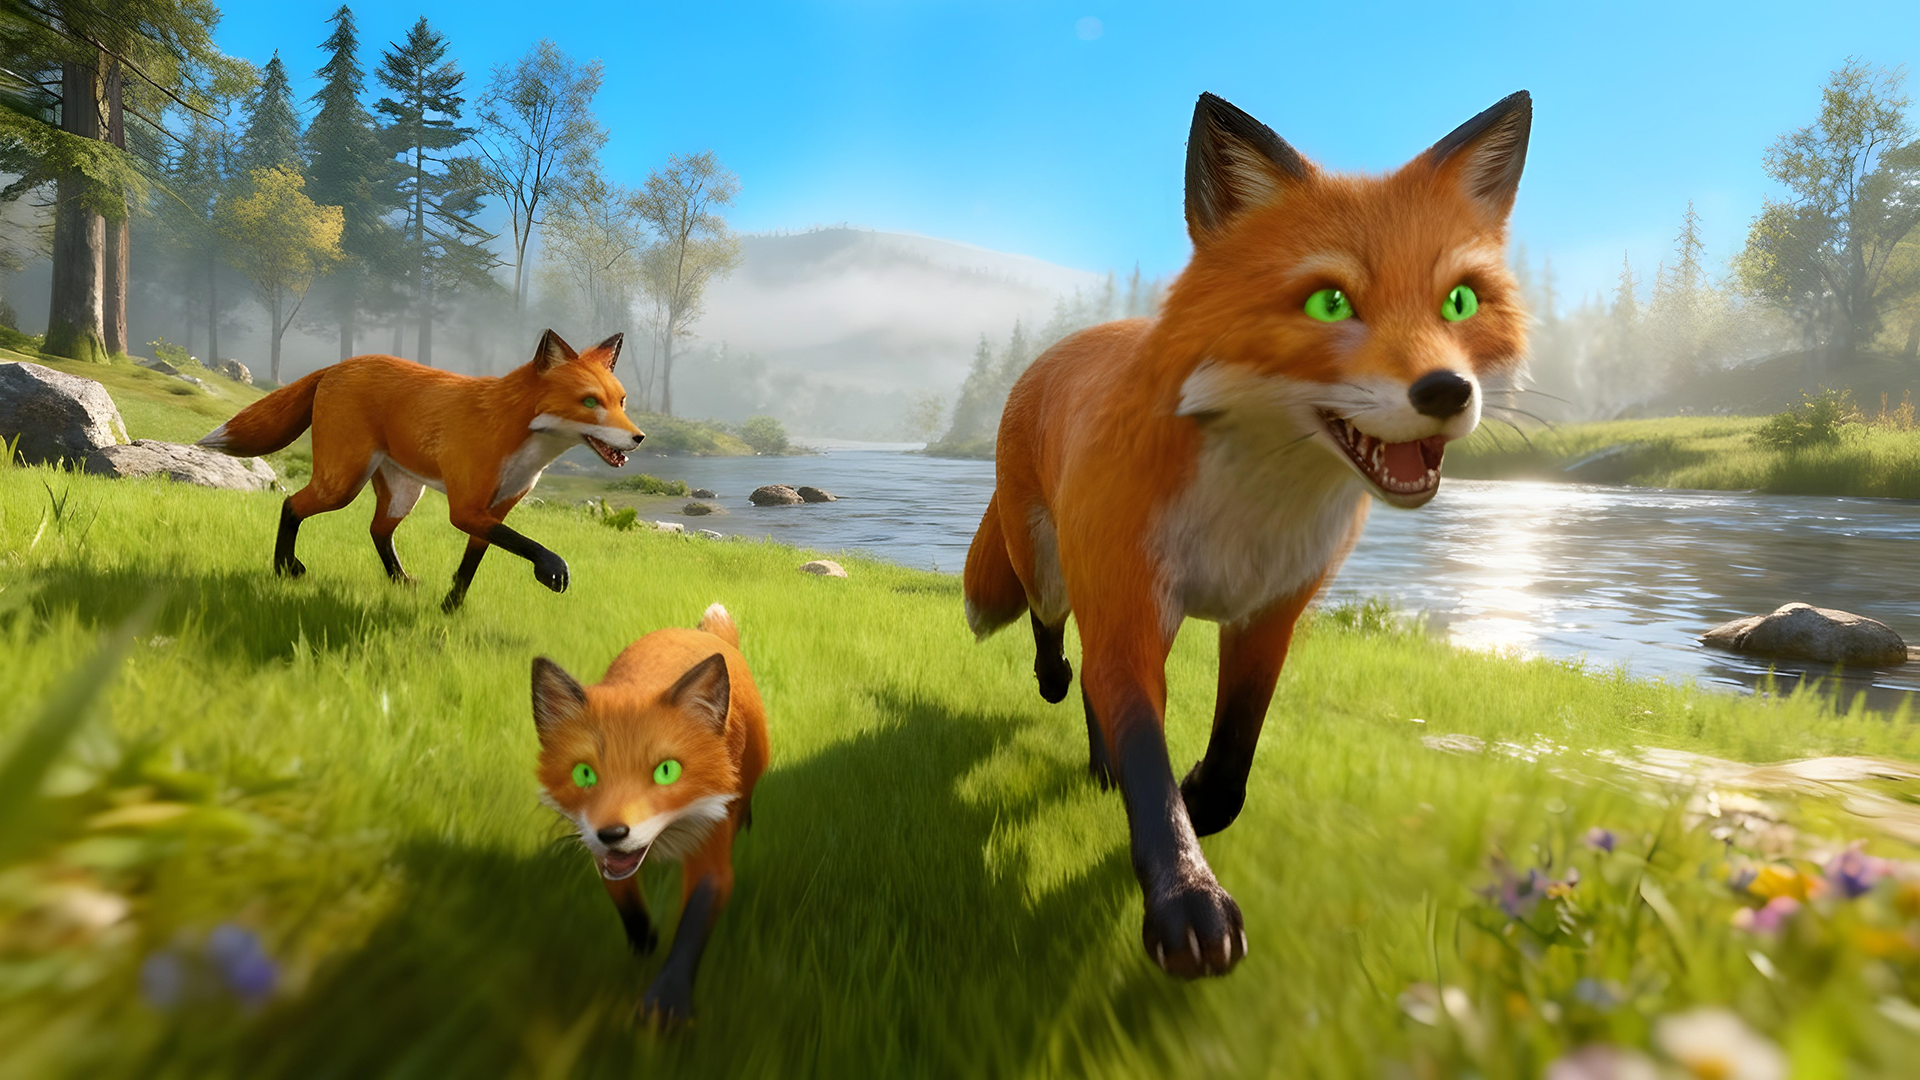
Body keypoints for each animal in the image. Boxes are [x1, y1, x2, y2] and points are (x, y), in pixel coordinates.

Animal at [197, 330, 645, 612]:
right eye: (590, 402)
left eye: (621, 401)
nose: (639, 438)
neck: (518, 439)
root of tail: (338, 365)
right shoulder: (466, 509)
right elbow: (526, 545)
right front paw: (551, 569)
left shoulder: (494, 510)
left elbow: (468, 569)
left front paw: (450, 611)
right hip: (342, 483)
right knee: (291, 504)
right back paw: (284, 569)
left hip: (404, 492)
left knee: (378, 530)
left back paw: (399, 580)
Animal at [532, 603, 770, 1026]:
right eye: (585, 774)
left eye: (666, 771)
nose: (613, 833)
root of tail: (703, 634)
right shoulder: (604, 857)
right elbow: (625, 902)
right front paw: (643, 947)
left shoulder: (712, 859)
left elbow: (691, 926)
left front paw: (667, 1001)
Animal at [962, 91, 1532, 979]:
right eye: (1330, 302)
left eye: (1460, 303)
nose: (1447, 391)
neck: (1252, 505)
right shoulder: (1133, 602)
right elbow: (1148, 761)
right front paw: (1185, 898)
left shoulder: (1270, 614)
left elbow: (1232, 760)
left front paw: (1199, 800)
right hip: (1050, 566)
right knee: (1057, 644)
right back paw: (1059, 691)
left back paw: (1098, 764)